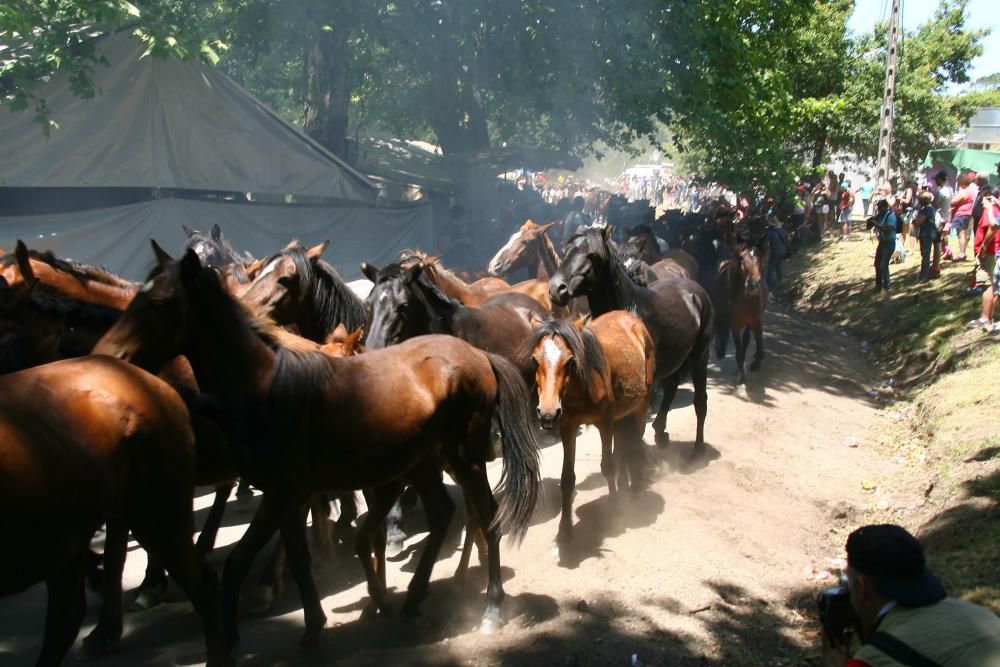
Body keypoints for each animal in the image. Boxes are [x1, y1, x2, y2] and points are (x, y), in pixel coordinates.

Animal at [95, 245, 540, 648]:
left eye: (158, 303)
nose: (107, 355)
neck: (265, 387)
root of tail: (479, 356)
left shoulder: (286, 491)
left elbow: (285, 557)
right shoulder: (283, 493)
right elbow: (261, 560)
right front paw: (280, 628)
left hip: (464, 456)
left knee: (486, 513)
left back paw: (491, 608)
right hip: (423, 463)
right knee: (443, 512)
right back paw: (412, 600)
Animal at [524, 316, 656, 552]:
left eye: (570, 361)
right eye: (535, 360)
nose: (547, 413)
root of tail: (633, 319)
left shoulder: (605, 423)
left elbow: (608, 467)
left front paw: (615, 516)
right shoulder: (567, 426)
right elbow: (567, 478)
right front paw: (565, 531)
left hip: (640, 407)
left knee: (633, 444)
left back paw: (635, 489)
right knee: (623, 447)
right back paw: (624, 488)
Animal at [548, 228, 712, 454]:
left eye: (593, 255)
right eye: (565, 252)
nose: (557, 290)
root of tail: (696, 290)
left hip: (699, 356)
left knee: (700, 401)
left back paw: (698, 450)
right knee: (671, 387)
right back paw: (661, 434)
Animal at [712, 243, 764, 384]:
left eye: (759, 257)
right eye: (742, 259)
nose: (753, 284)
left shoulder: (756, 320)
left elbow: (759, 342)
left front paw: (756, 363)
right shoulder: (734, 324)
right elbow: (738, 349)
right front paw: (741, 375)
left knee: (746, 338)